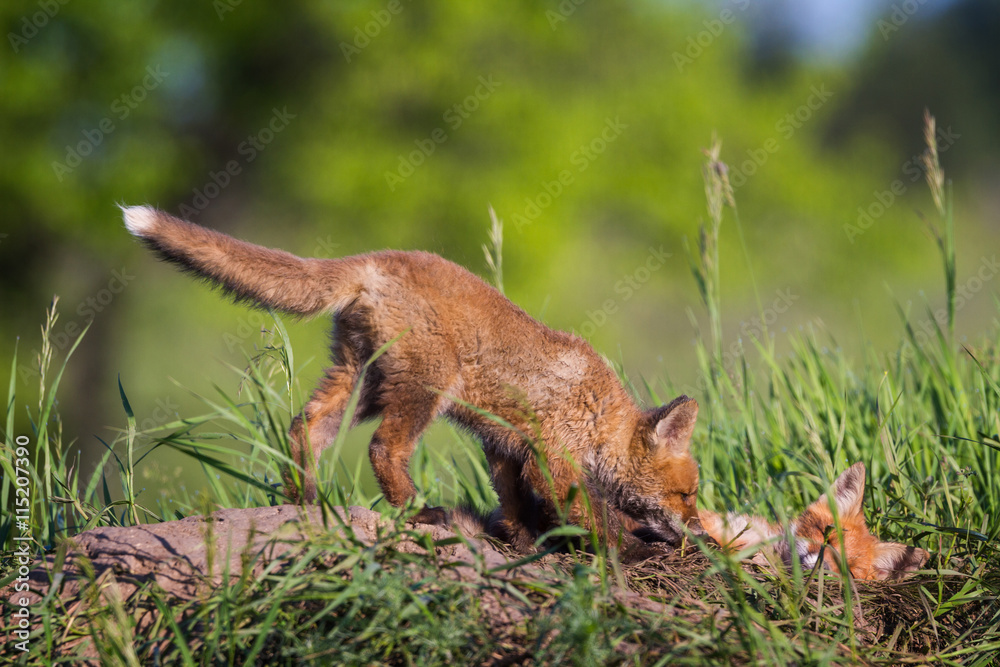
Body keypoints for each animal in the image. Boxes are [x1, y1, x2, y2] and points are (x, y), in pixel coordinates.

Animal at [121, 205, 704, 558]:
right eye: (688, 493)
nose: (698, 529)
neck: (602, 414)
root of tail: (376, 259)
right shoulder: (551, 458)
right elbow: (590, 512)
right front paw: (631, 547)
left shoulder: (505, 446)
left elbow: (515, 502)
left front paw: (522, 542)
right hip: (421, 389)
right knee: (384, 449)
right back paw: (419, 512)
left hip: (361, 383)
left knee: (304, 426)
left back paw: (306, 503)